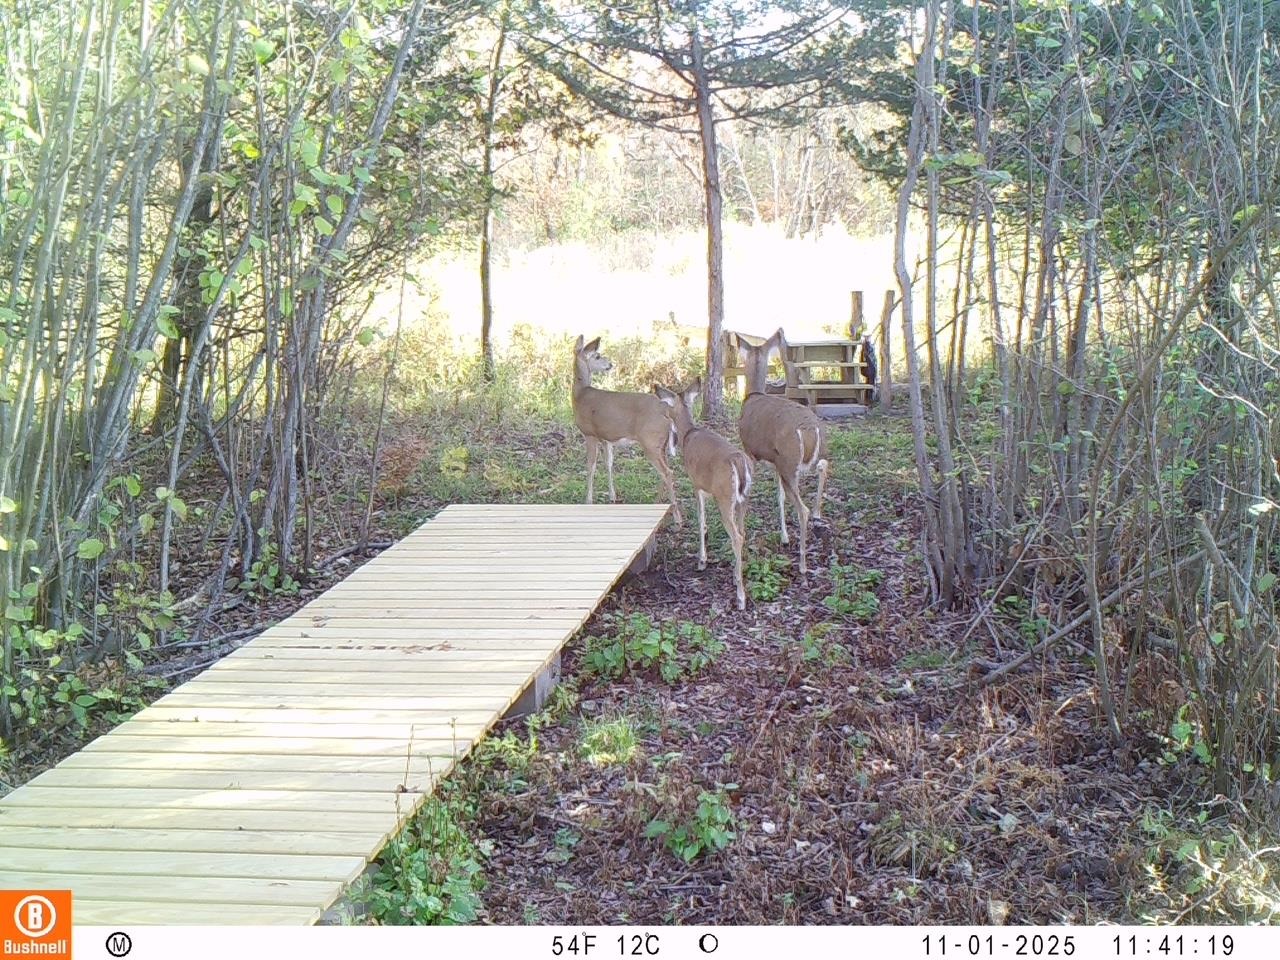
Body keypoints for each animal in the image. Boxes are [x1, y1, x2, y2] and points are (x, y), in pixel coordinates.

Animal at [572, 335, 683, 525]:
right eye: (598, 356)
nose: (610, 364)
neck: (580, 396)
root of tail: (667, 413)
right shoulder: (605, 437)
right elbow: (608, 464)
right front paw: (612, 496)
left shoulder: (589, 433)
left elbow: (590, 466)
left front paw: (588, 500)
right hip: (661, 445)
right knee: (666, 471)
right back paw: (659, 504)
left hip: (650, 441)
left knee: (667, 472)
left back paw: (677, 518)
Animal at [653, 378, 752, 610]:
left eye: (668, 407)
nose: (664, 415)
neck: (688, 434)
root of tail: (739, 461)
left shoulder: (697, 484)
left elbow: (701, 521)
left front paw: (701, 560)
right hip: (743, 499)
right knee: (742, 532)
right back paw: (736, 575)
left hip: (724, 498)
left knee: (736, 536)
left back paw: (740, 597)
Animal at [727, 328, 829, 574]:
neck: (754, 395)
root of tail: (809, 429)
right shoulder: (774, 459)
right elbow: (779, 495)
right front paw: (783, 536)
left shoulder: (750, 452)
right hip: (799, 459)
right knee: (823, 466)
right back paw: (818, 512)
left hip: (789, 462)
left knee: (802, 510)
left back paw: (802, 564)